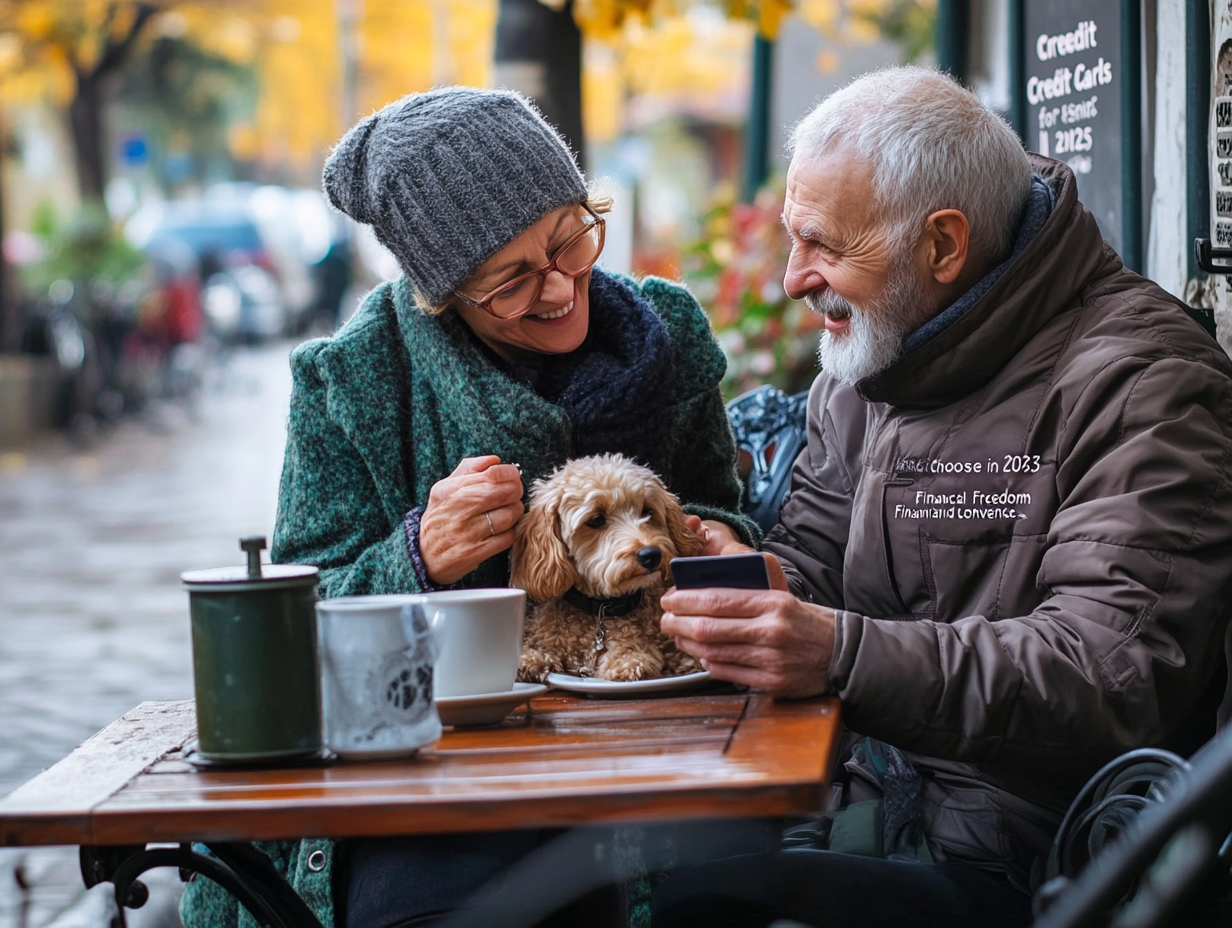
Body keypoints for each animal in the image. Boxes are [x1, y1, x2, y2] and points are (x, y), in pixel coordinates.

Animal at [510, 453, 704, 680]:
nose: (651, 555)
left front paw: (629, 662)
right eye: (596, 519)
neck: (601, 611)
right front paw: (530, 659)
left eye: (647, 511)